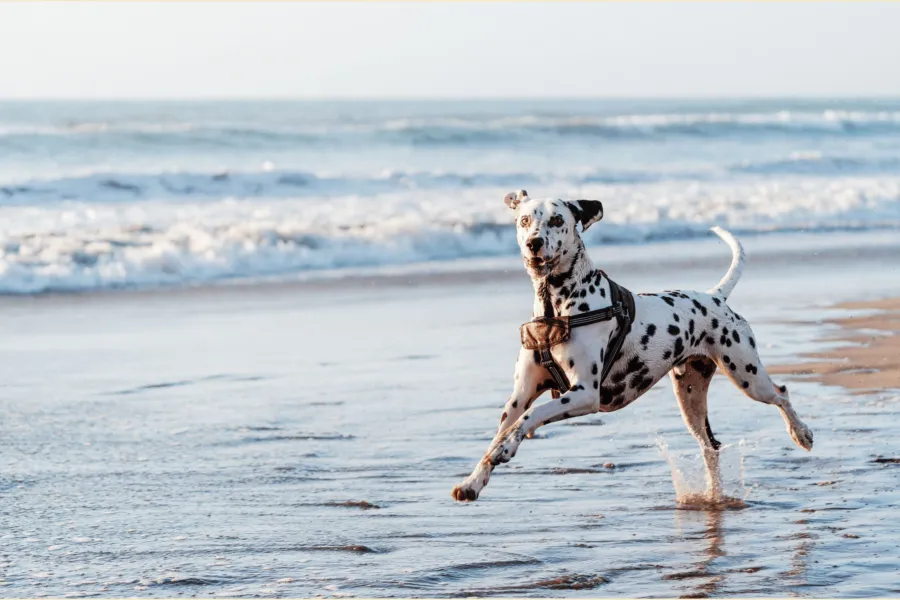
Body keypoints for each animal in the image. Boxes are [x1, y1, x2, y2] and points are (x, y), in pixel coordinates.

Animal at [454, 191, 812, 502]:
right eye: (525, 220)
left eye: (556, 220)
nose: (534, 243)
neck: (556, 308)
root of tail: (714, 296)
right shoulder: (519, 396)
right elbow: (504, 429)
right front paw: (473, 481)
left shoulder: (585, 394)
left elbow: (532, 415)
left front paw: (507, 447)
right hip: (691, 398)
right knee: (710, 446)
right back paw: (713, 495)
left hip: (747, 375)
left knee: (781, 394)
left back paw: (801, 433)